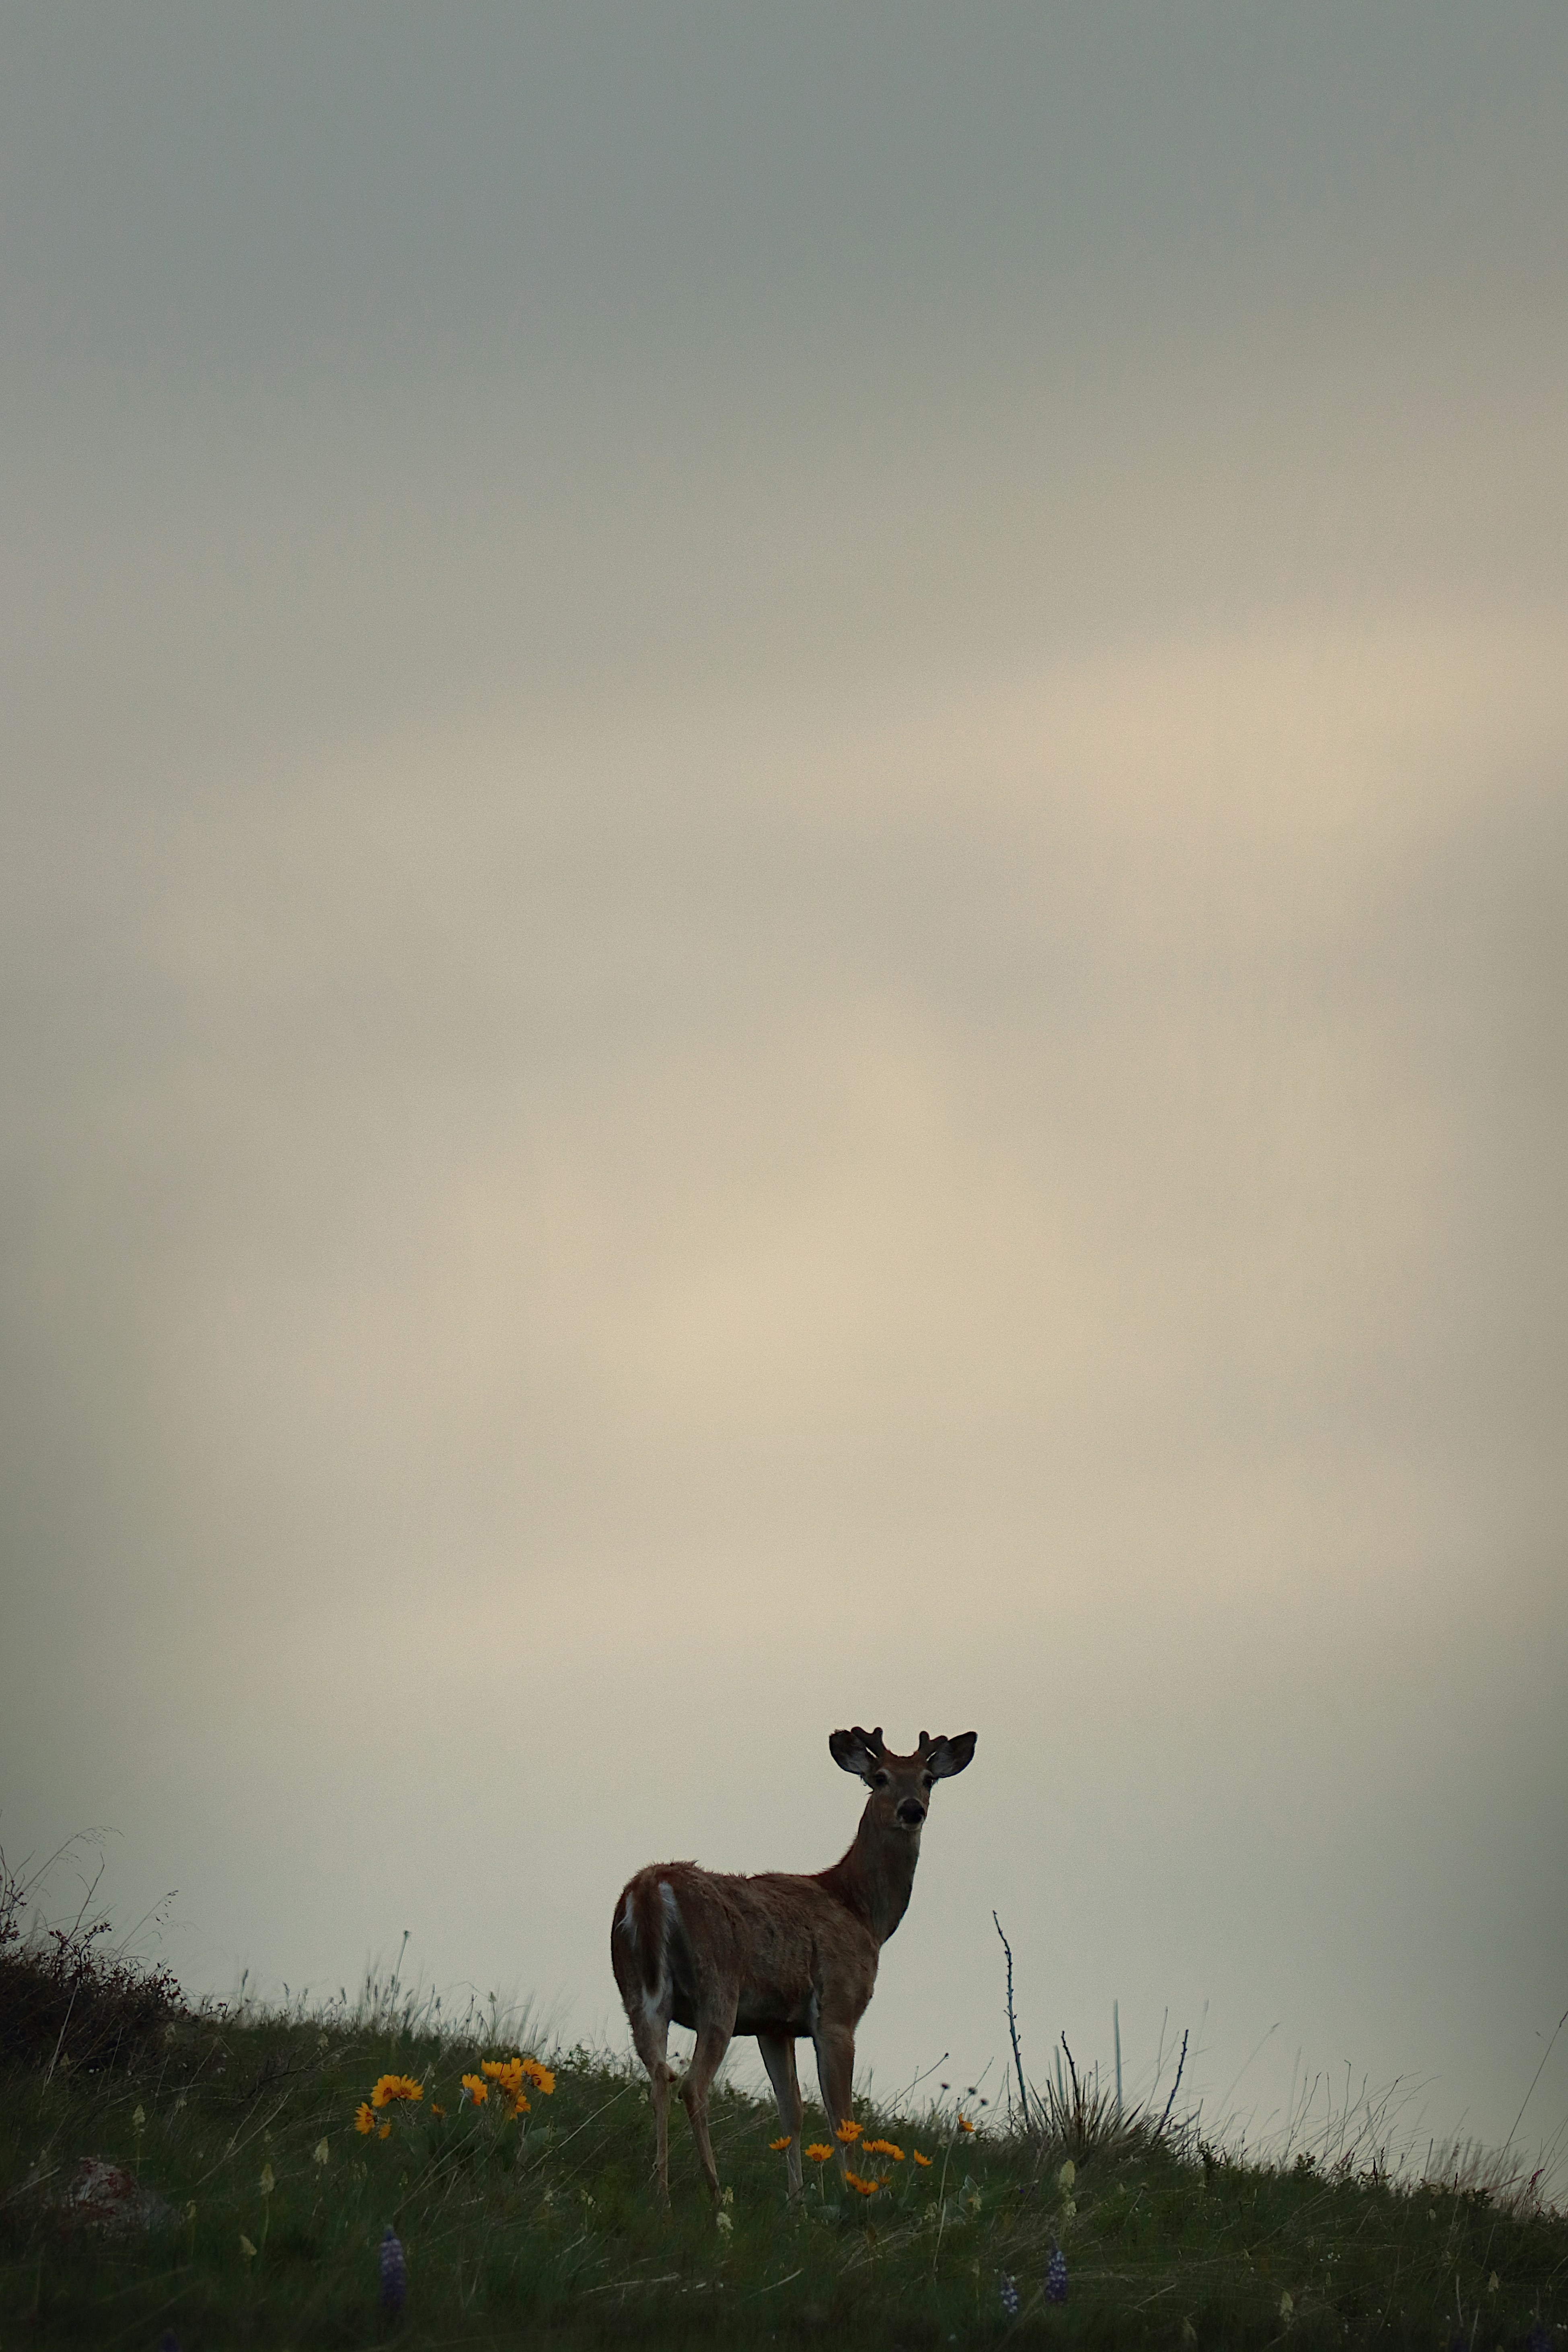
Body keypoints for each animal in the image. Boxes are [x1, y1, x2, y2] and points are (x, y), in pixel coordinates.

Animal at [611, 1724, 976, 2202]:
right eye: (879, 1777)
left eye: (927, 1779)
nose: (912, 1810)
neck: (862, 1912)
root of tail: (650, 1890)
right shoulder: (838, 2012)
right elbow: (842, 2117)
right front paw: (851, 2192)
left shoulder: (774, 2025)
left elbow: (792, 2111)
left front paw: (797, 2198)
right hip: (718, 1989)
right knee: (692, 2085)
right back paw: (714, 2189)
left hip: (637, 1991)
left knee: (658, 2075)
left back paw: (662, 2191)